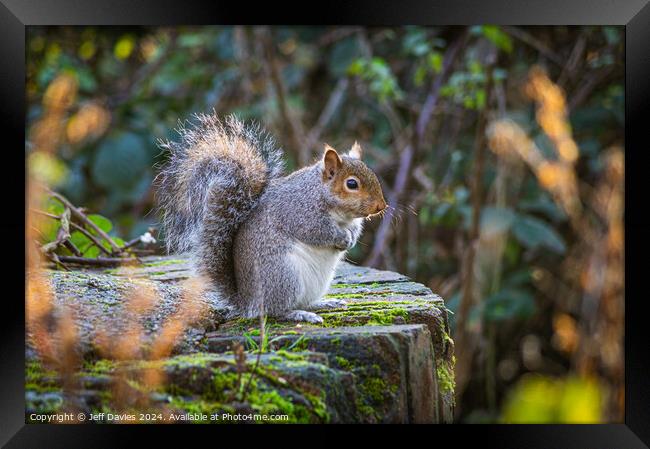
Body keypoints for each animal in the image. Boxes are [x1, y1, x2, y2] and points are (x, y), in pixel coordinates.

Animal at [155, 112, 384, 322]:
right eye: (351, 184)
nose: (381, 206)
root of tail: (248, 302)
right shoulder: (300, 213)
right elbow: (318, 231)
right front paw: (342, 238)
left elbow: (354, 229)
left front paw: (351, 238)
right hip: (283, 276)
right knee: (275, 311)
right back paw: (299, 314)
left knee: (302, 302)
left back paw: (323, 304)